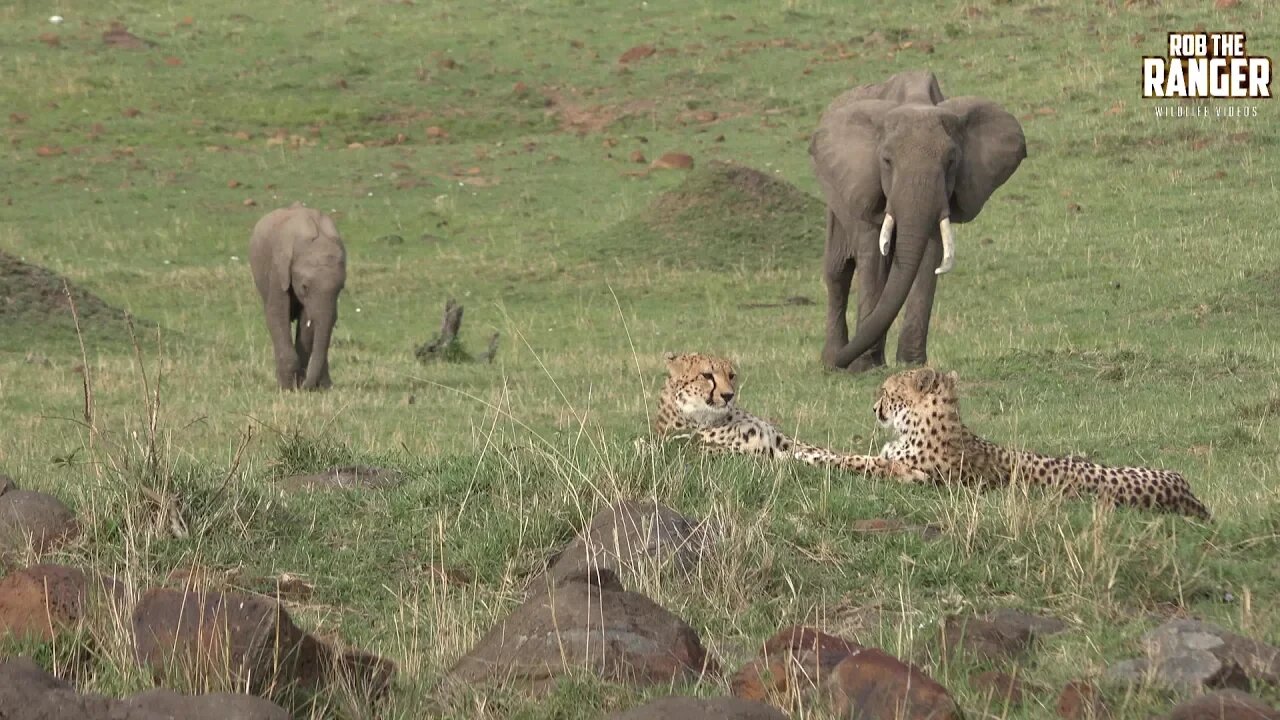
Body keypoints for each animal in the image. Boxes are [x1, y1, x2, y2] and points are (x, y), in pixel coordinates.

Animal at [247, 203, 348, 386]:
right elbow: (276, 315)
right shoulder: (277, 270)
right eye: (305, 287)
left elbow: (307, 323)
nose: (306, 386)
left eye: (341, 288)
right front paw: (288, 386)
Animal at [660, 351, 921, 479]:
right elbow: (832, 459)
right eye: (706, 376)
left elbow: (831, 453)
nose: (728, 395)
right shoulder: (761, 455)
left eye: (731, 375)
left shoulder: (784, 443)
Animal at [808, 70, 1029, 371]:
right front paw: (864, 368)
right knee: (838, 271)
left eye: (951, 161)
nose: (846, 362)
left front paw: (911, 363)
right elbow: (873, 257)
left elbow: (928, 258)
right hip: (835, 195)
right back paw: (832, 360)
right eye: (886, 161)